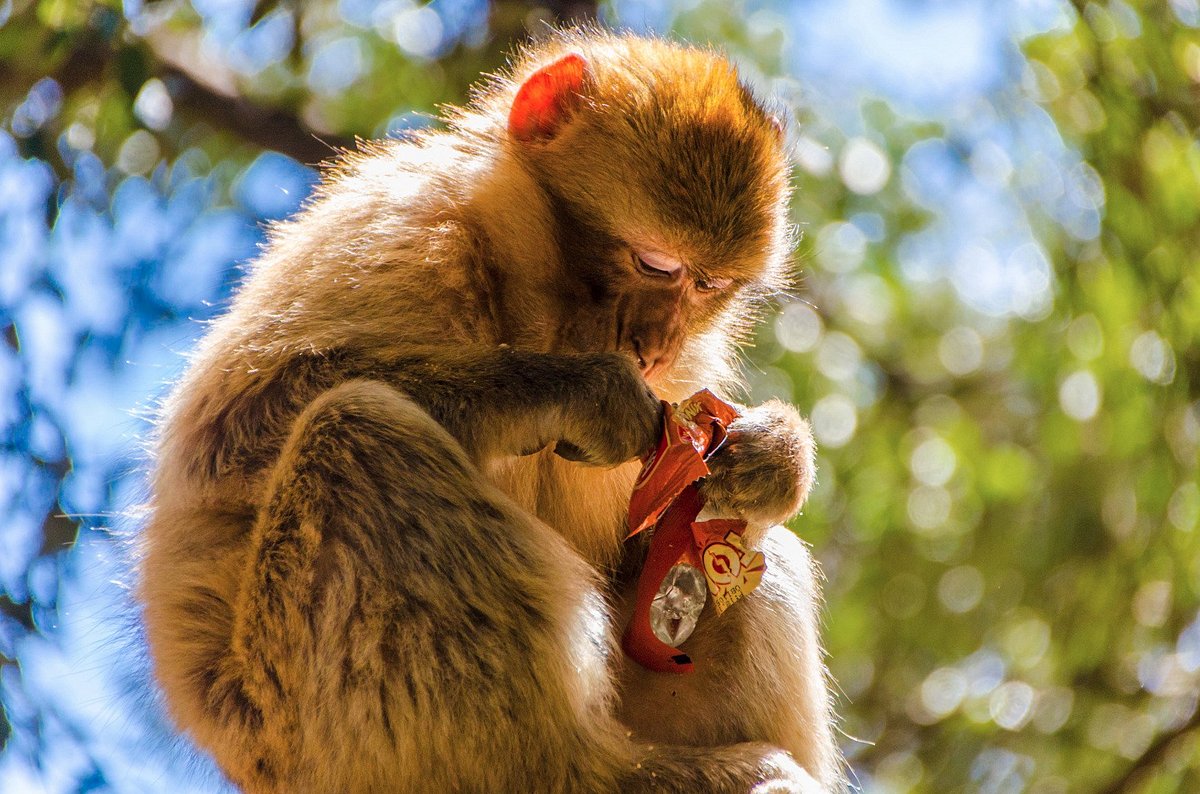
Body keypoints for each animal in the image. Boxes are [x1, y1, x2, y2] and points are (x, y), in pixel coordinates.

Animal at [139, 29, 842, 793]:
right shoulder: (399, 225)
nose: (654, 349)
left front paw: (772, 457)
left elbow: (677, 520)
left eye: (709, 286)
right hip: (300, 717)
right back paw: (586, 769)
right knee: (355, 437)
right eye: (656, 264)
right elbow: (236, 431)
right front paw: (578, 392)